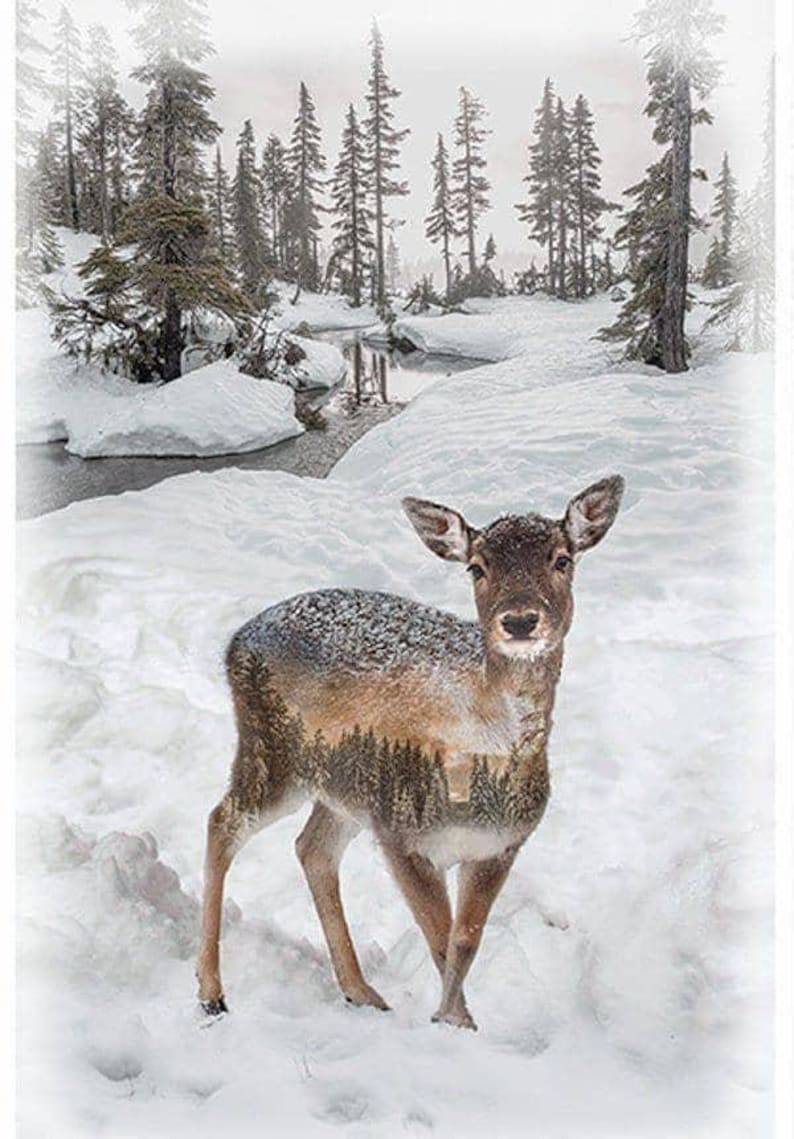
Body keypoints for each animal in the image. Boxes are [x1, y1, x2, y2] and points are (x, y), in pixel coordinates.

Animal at [197, 475, 625, 1030]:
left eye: (562, 558)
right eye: (477, 566)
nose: (520, 621)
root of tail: (236, 641)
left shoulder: (502, 843)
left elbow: (465, 941)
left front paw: (456, 1022)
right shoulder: (403, 834)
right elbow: (441, 941)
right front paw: (454, 1026)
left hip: (345, 785)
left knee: (312, 848)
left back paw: (360, 991)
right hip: (275, 753)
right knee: (222, 821)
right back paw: (211, 992)